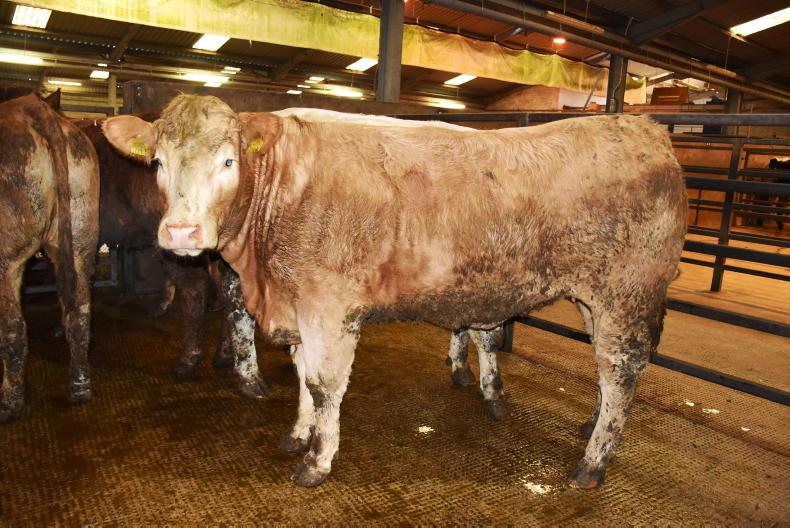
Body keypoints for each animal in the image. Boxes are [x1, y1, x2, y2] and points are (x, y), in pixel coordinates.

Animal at [0, 94, 99, 423]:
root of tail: (34, 108)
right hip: (80, 232)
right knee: (79, 312)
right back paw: (79, 387)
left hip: (5, 254)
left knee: (14, 328)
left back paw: (9, 403)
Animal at [102, 95, 687, 490]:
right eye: (158, 162)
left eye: (228, 161)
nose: (181, 233)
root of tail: (644, 127)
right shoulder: (296, 305)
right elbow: (300, 377)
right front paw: (298, 434)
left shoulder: (328, 307)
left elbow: (324, 385)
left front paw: (317, 461)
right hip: (597, 299)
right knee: (611, 371)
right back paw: (591, 425)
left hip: (625, 292)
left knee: (620, 369)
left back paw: (592, 462)